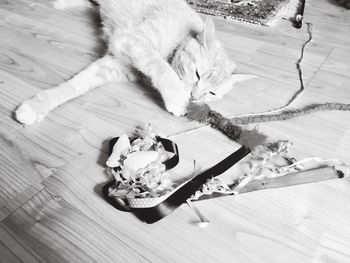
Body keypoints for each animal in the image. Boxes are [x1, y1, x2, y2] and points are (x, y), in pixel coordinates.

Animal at [15, 0, 254, 125]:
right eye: (197, 74)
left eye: (212, 93)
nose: (195, 97)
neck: (178, 40)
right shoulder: (133, 42)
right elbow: (162, 69)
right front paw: (177, 98)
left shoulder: (115, 64)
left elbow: (73, 86)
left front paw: (38, 106)